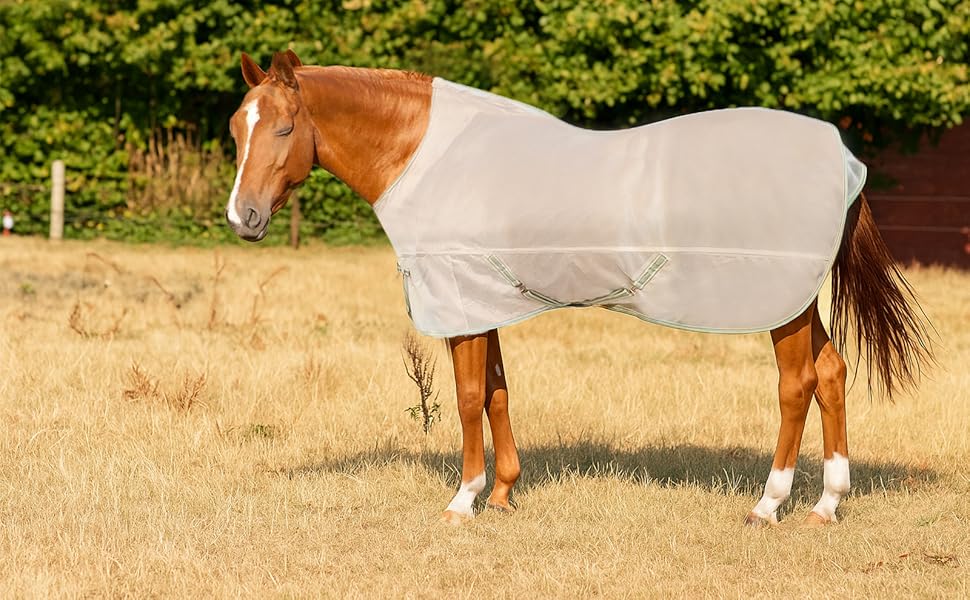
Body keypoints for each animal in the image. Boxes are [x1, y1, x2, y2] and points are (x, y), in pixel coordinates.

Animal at [224, 50, 932, 527]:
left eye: (283, 129)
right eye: (236, 129)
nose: (243, 218)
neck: (430, 155)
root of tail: (842, 157)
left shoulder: (459, 299)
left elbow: (468, 398)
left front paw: (464, 500)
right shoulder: (488, 300)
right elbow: (498, 393)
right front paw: (504, 493)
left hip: (780, 301)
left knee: (797, 384)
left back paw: (769, 503)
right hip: (798, 300)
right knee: (832, 373)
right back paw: (828, 502)